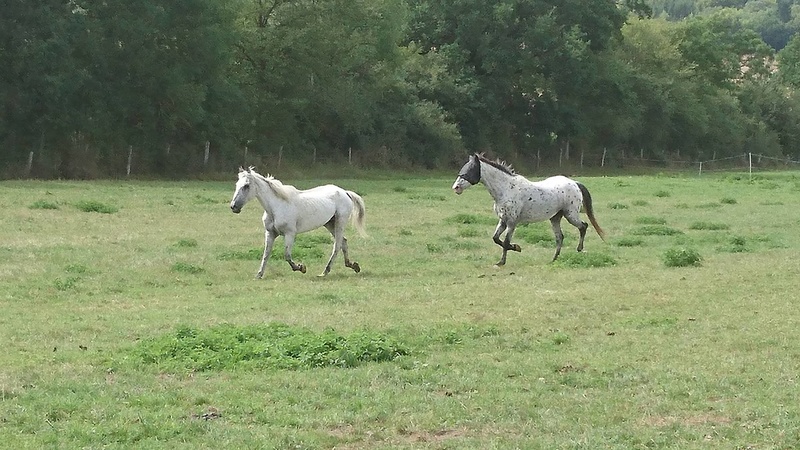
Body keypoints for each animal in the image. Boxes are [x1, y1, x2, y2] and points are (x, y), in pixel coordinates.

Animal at [230, 167, 368, 276]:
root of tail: (345, 192)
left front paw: (301, 268)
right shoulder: (270, 233)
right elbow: (266, 254)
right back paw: (353, 266)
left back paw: (325, 272)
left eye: (246, 186)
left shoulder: (290, 234)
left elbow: (287, 255)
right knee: (344, 242)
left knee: (337, 245)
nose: (233, 206)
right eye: (237, 185)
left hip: (340, 222)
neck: (276, 207)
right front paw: (259, 274)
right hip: (329, 224)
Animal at [454, 154, 604, 264]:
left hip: (570, 215)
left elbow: (506, 241)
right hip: (555, 217)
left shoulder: (512, 222)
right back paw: (553, 259)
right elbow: (496, 239)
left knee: (583, 226)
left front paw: (502, 261)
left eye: (470, 170)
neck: (506, 189)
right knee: (560, 237)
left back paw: (579, 249)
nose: (456, 187)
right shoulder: (503, 220)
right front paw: (517, 248)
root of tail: (574, 183)